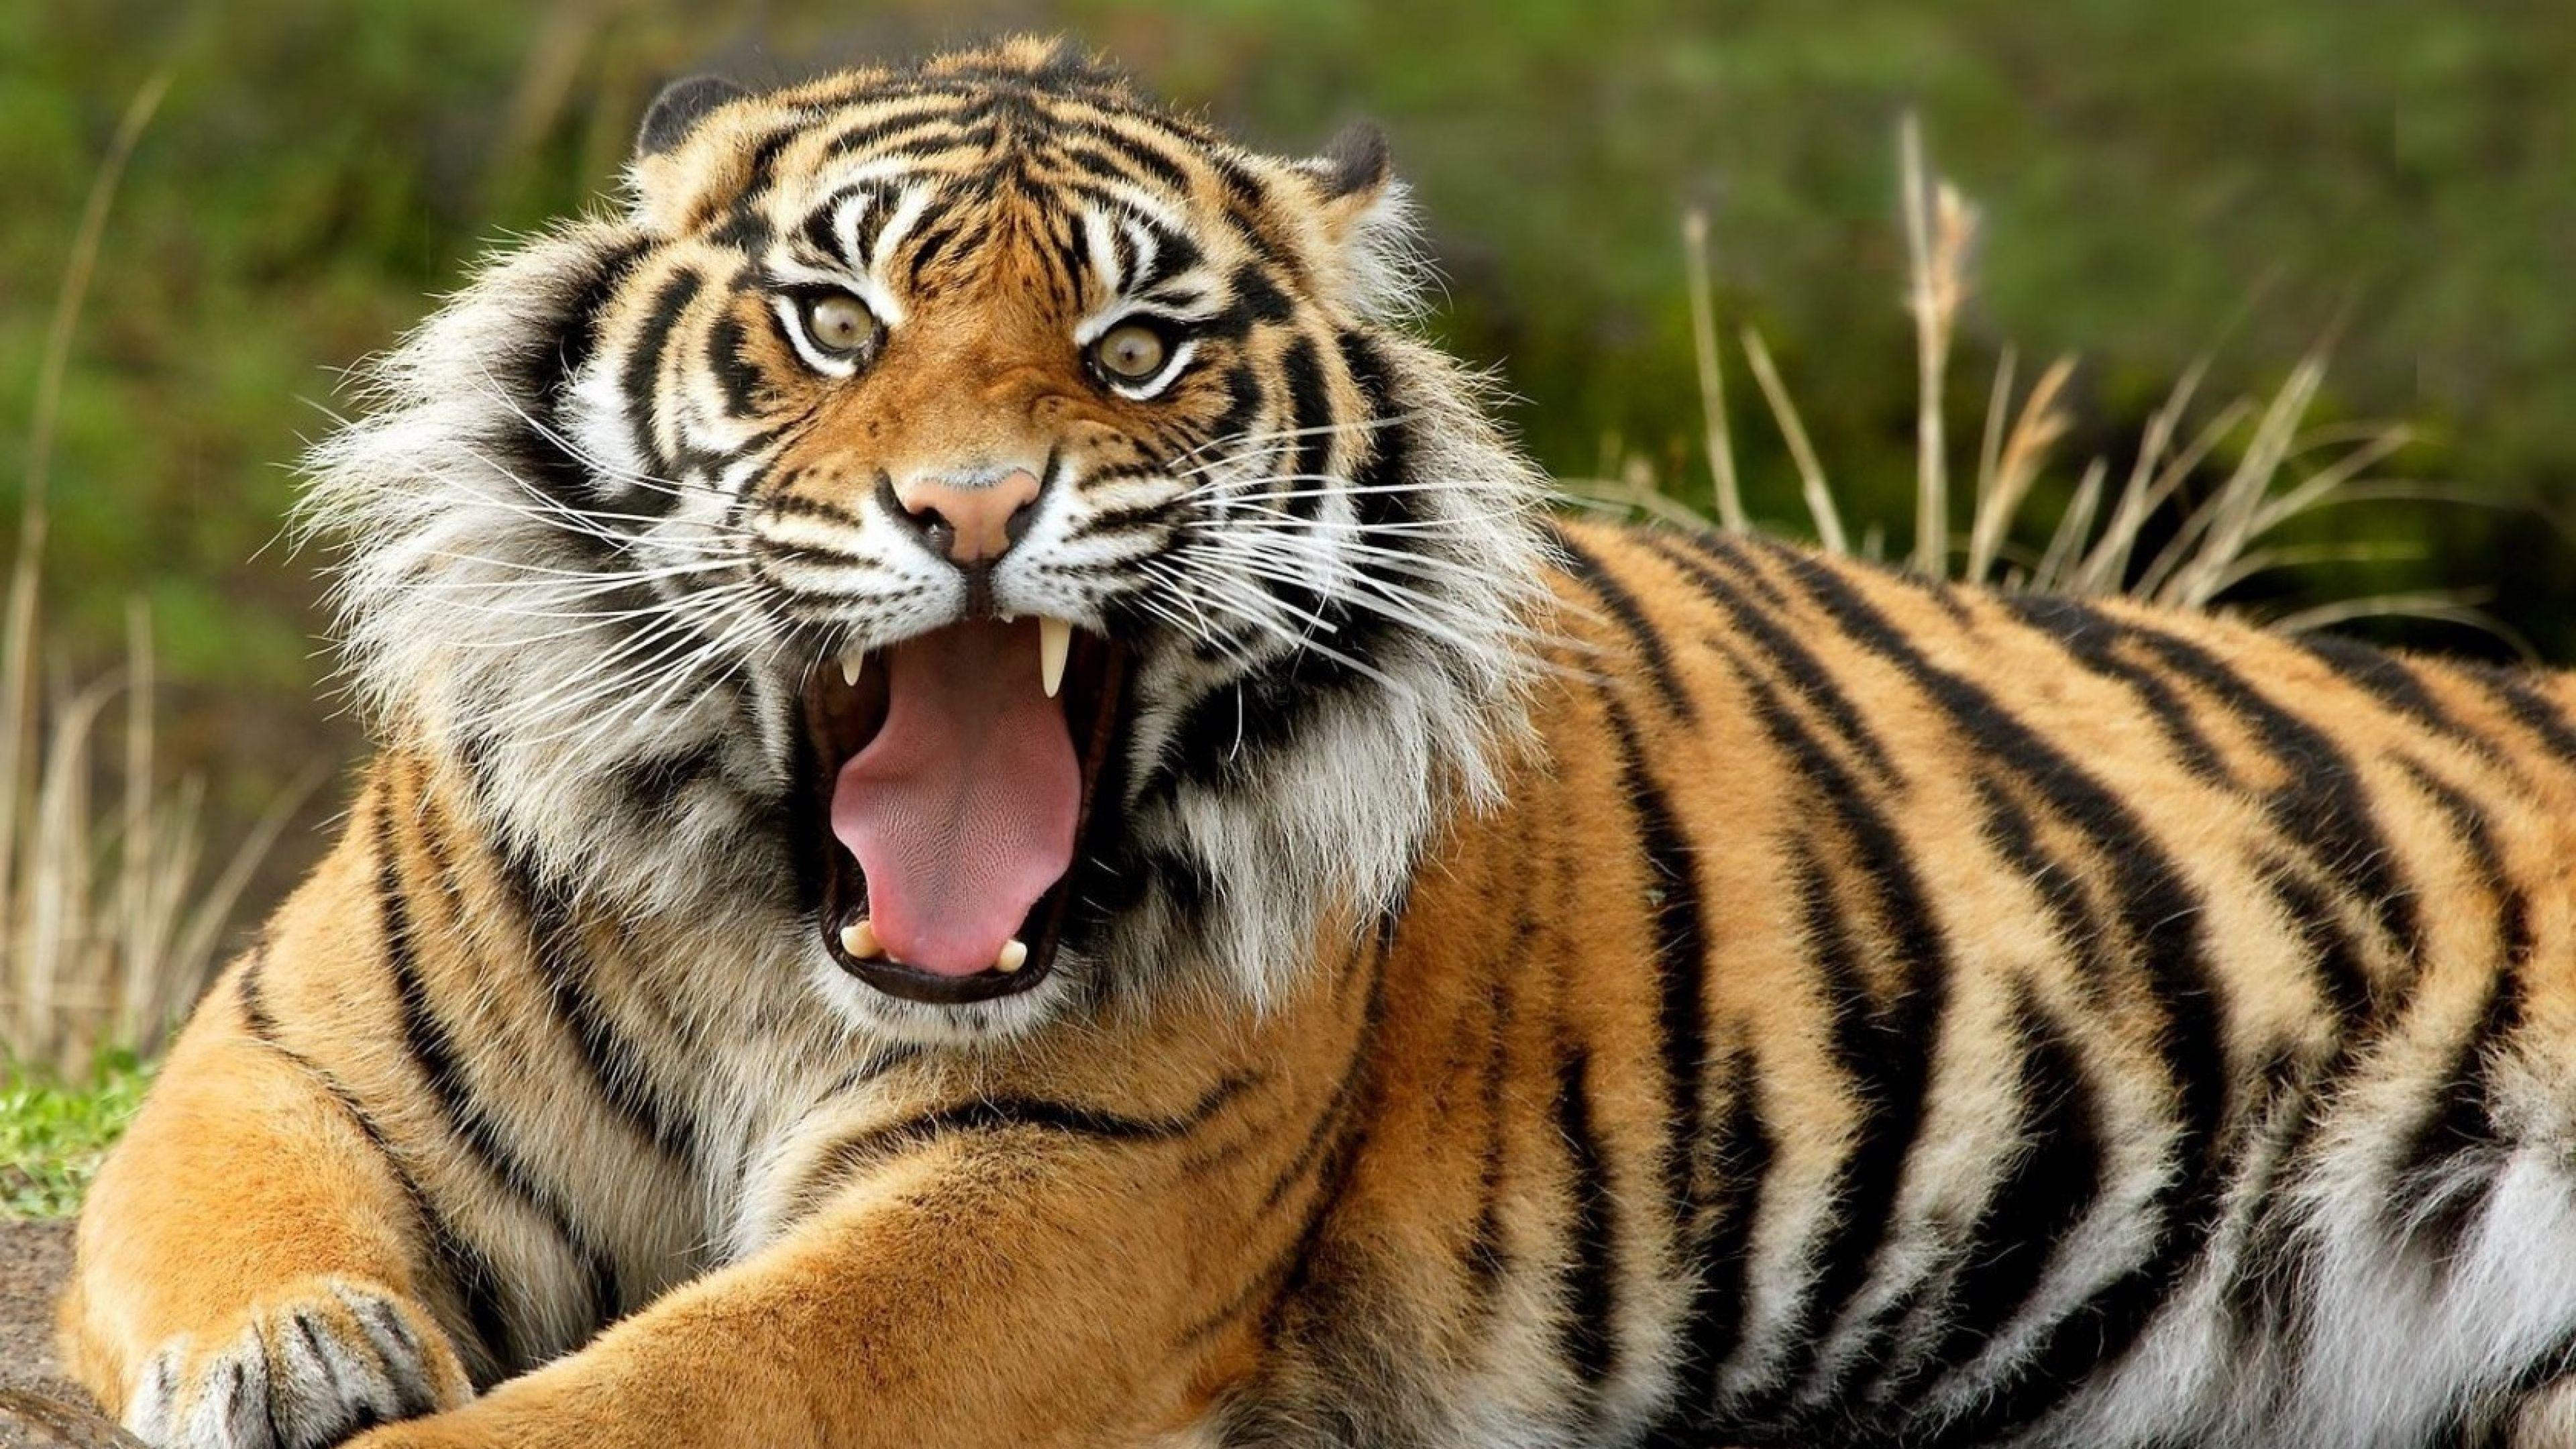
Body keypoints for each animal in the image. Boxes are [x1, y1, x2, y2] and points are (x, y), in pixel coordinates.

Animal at [52, 33, 2576, 1449]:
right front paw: (292, 1356)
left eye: (1139, 351)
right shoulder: (281, 1054)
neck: (773, 936)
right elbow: (235, 1221)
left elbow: (669, 1395)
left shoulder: (1048, 1204)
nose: (973, 508)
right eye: (836, 319)